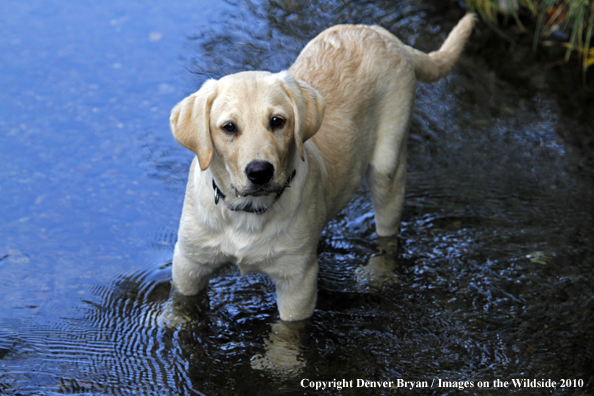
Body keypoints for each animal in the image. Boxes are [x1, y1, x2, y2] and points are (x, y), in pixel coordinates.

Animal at [170, 14, 472, 322]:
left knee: (388, 233)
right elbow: (181, 307)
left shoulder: (297, 282)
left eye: (277, 121)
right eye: (229, 127)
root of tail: (380, 33)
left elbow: (286, 334)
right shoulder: (188, 264)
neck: (247, 214)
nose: (260, 172)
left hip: (388, 164)